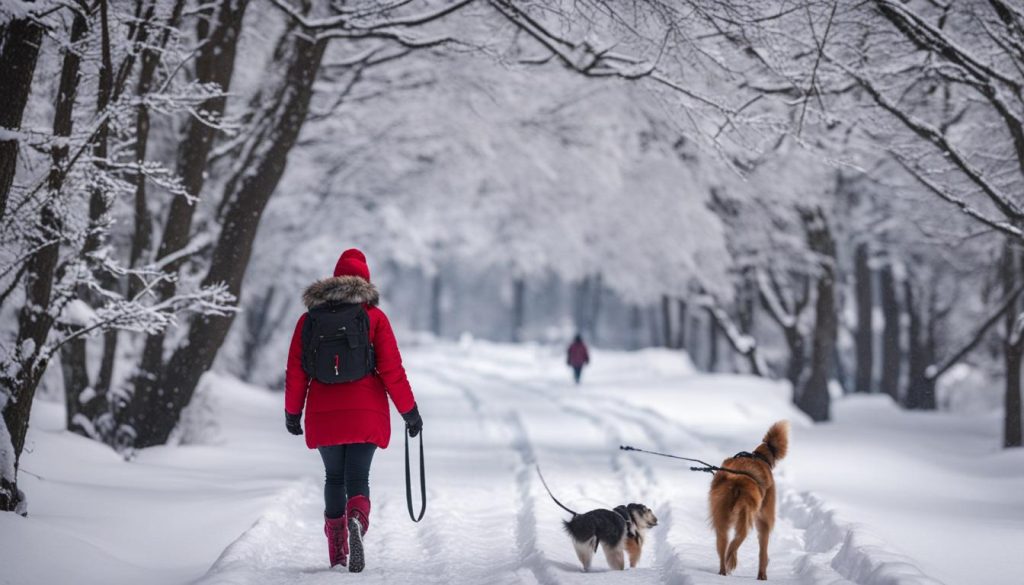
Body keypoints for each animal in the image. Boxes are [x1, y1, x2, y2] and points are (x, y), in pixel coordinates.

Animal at [708, 422, 786, 581]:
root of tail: (737, 481)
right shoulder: (764, 520)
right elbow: (763, 553)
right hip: (750, 515)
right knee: (742, 539)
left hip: (721, 518)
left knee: (723, 546)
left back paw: (724, 570)